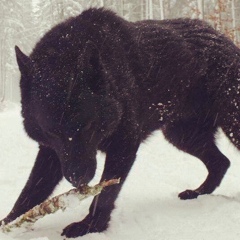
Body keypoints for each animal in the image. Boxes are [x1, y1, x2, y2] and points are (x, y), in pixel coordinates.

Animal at [0, 7, 239, 238]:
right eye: (51, 132)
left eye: (87, 126)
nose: (78, 179)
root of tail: (225, 40)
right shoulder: (52, 152)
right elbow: (30, 192)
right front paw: (9, 223)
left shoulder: (123, 146)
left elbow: (104, 194)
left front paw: (90, 226)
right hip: (183, 136)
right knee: (221, 162)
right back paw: (198, 193)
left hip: (229, 125)